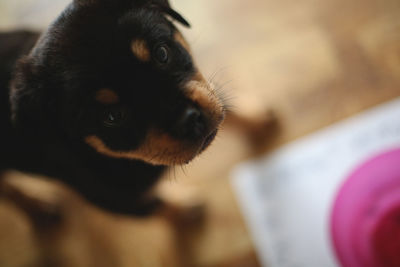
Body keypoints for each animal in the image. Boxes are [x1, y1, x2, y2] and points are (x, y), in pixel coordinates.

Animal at [0, 0, 225, 215]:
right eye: (113, 116)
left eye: (162, 53)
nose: (190, 119)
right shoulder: (119, 200)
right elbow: (159, 203)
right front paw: (185, 204)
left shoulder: (208, 91)